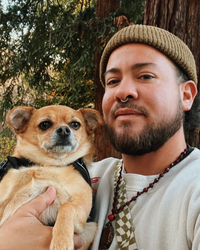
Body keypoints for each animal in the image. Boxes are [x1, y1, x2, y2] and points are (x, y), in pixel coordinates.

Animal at [0, 105, 103, 250]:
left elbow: (66, 206)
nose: (64, 130)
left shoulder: (83, 208)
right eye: (45, 124)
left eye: (75, 125)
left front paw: (61, 241)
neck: (48, 165)